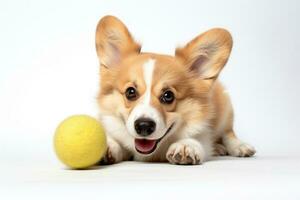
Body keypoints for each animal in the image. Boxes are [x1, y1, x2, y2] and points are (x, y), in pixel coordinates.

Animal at [95, 15, 255, 165]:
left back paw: (239, 146)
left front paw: (186, 146)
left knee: (228, 133)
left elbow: (198, 140)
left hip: (225, 109)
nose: (144, 126)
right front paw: (108, 145)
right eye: (130, 92)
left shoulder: (204, 133)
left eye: (168, 95)